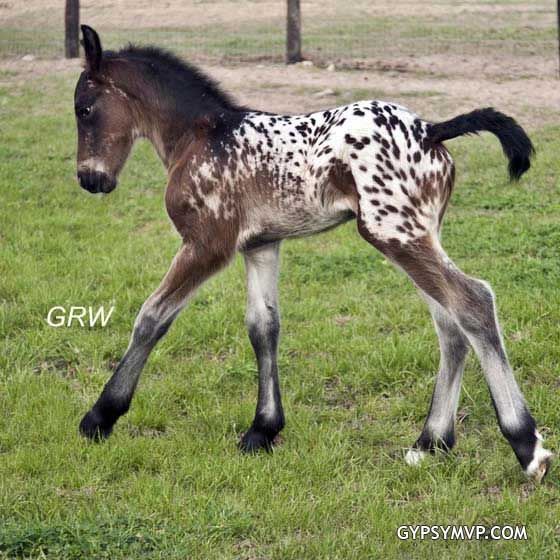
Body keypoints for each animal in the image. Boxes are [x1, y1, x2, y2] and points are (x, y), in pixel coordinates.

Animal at [74, 26, 552, 482]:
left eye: (84, 109)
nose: (89, 180)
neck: (199, 137)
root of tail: (430, 129)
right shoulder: (261, 246)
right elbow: (263, 327)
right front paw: (262, 430)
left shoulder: (208, 244)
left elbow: (152, 317)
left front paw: (101, 416)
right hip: (418, 234)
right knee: (449, 323)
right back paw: (430, 442)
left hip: (394, 234)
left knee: (472, 301)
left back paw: (526, 446)